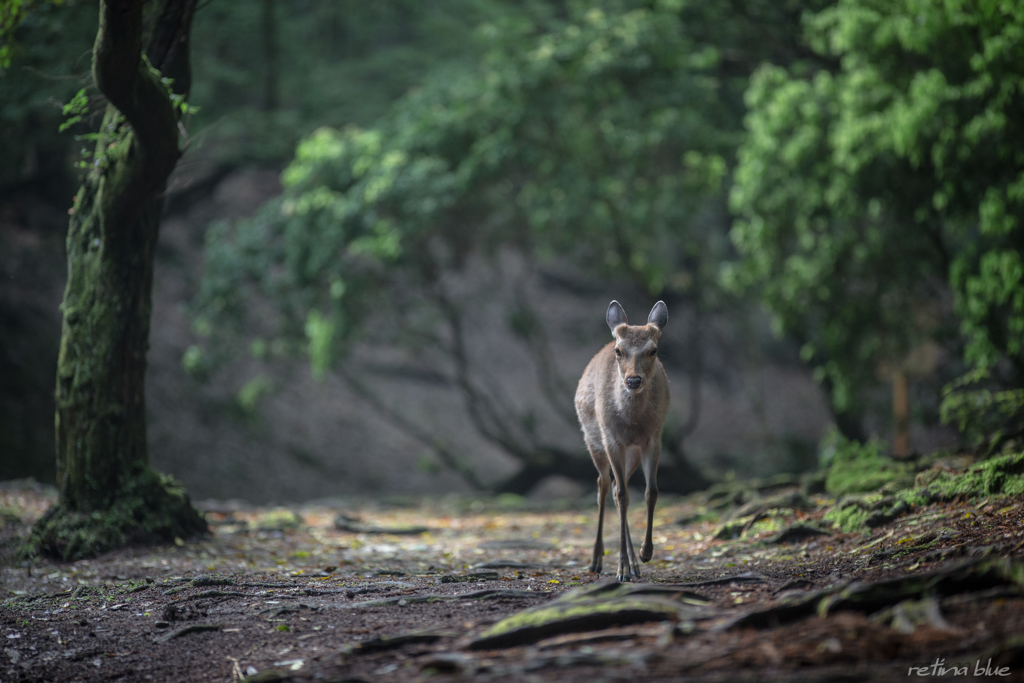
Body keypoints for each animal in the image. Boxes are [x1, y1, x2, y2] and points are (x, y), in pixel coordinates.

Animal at [577, 299, 671, 581]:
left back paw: (635, 565)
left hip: (632, 454)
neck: (632, 422)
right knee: (604, 485)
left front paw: (645, 553)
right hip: (593, 440)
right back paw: (597, 561)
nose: (633, 379)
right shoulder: (611, 439)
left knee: (620, 489)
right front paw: (621, 569)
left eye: (653, 350)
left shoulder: (654, 438)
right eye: (619, 350)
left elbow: (651, 492)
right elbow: (621, 494)